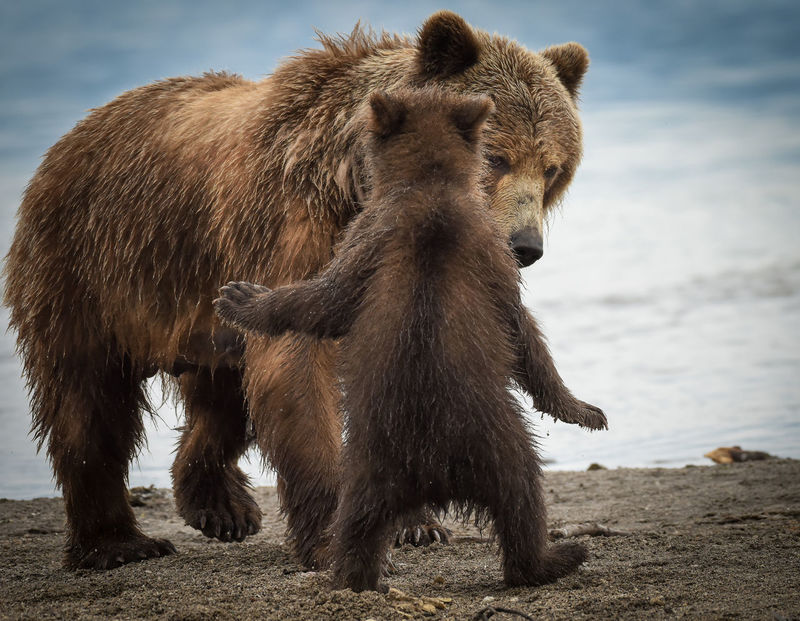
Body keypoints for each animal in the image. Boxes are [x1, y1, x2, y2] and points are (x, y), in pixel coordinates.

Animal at [3, 12, 592, 568]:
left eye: (553, 168)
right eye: (497, 157)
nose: (523, 246)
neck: (354, 183)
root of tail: (76, 132)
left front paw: (417, 523)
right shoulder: (291, 225)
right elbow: (297, 366)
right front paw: (334, 536)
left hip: (199, 318)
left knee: (223, 406)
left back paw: (221, 507)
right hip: (91, 269)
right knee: (88, 404)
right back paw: (118, 542)